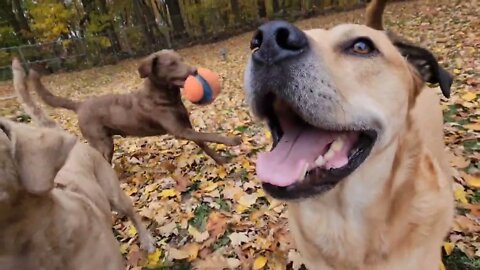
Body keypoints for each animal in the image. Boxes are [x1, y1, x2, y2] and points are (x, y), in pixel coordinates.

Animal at [28, 50, 242, 165]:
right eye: (171, 64)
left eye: (181, 59)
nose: (195, 70)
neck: (166, 96)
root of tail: (80, 104)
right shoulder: (180, 131)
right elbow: (210, 135)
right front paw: (232, 140)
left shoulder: (186, 125)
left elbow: (204, 142)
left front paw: (220, 160)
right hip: (102, 143)